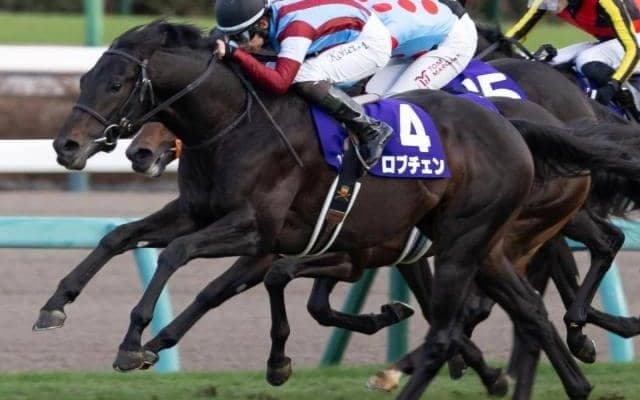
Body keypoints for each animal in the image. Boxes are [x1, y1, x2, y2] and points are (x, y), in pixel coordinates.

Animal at [40, 21, 594, 399]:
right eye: (85, 78)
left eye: (116, 85)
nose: (67, 146)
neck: (236, 123)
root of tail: (513, 128)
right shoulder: (203, 214)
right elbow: (121, 237)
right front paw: (56, 305)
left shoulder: (255, 230)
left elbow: (182, 257)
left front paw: (137, 339)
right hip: (486, 246)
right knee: (530, 308)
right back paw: (576, 379)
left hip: (463, 244)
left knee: (451, 328)